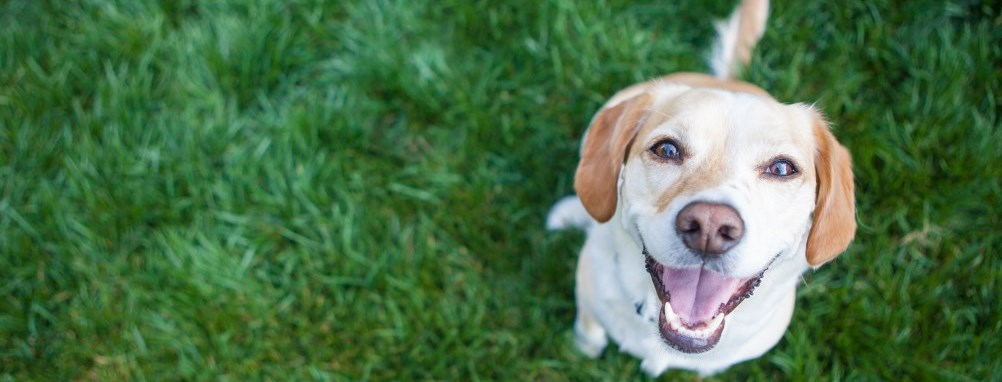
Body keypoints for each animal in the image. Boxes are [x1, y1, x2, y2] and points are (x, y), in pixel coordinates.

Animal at [545, 0, 857, 374]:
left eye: (782, 168)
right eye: (666, 150)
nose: (709, 226)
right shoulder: (590, 297)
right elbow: (589, 332)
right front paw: (582, 350)